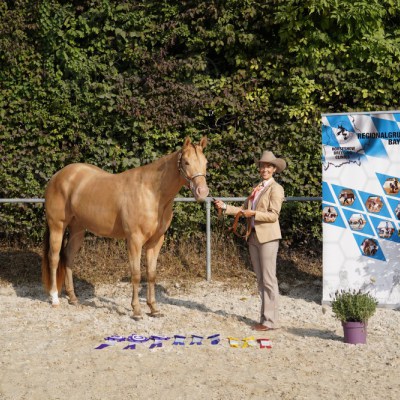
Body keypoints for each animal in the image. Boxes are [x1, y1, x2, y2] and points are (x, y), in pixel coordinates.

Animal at [41, 136, 209, 319]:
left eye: (205, 162)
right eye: (186, 162)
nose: (202, 192)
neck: (151, 192)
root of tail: (57, 176)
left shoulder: (156, 241)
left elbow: (151, 275)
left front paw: (154, 309)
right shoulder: (134, 240)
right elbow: (136, 275)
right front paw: (136, 311)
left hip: (77, 230)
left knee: (68, 257)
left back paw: (72, 297)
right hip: (57, 226)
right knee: (54, 258)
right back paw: (54, 298)